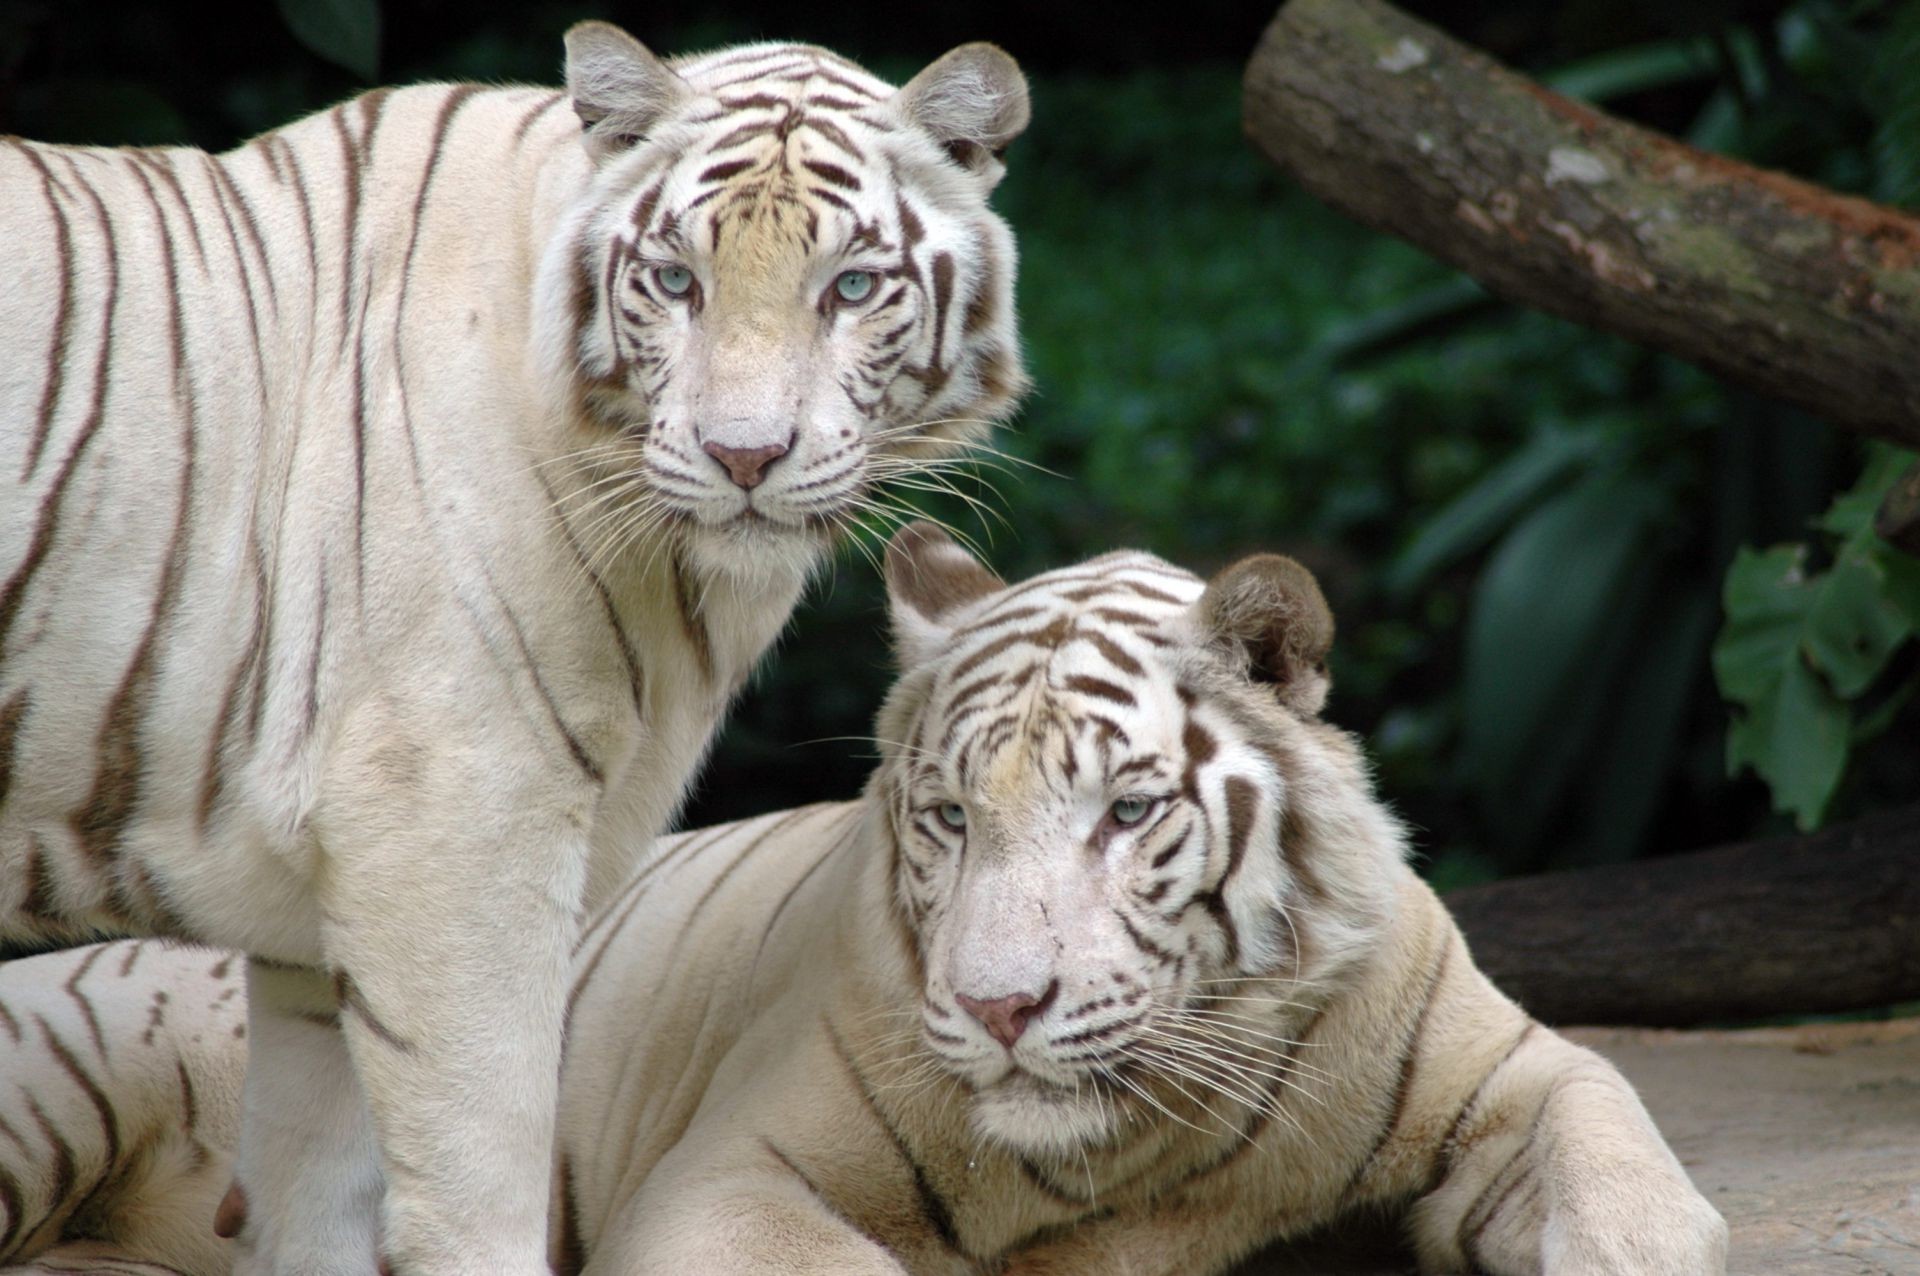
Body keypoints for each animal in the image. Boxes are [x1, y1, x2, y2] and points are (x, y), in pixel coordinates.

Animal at [0, 22, 1029, 1274]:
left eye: (853, 286)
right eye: (676, 280)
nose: (744, 456)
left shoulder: (310, 945)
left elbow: (316, 1197)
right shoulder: (452, 836)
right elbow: (479, 1183)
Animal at [0, 521, 1728, 1266]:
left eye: (1127, 811)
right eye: (952, 816)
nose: (1000, 1009)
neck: (1150, 1147)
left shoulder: (1521, 1071)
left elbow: (1633, 1182)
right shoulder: (731, 1177)